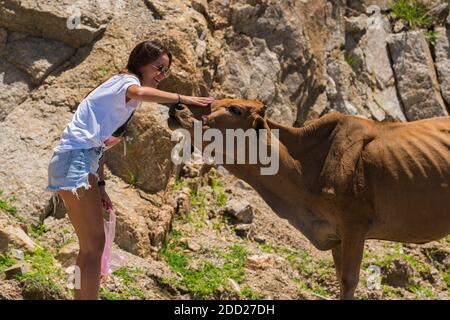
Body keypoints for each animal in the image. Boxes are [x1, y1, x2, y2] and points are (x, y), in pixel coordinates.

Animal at [168, 98, 450, 300]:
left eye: (234, 108)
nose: (177, 106)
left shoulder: (354, 225)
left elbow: (349, 281)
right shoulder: (336, 234)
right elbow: (341, 278)